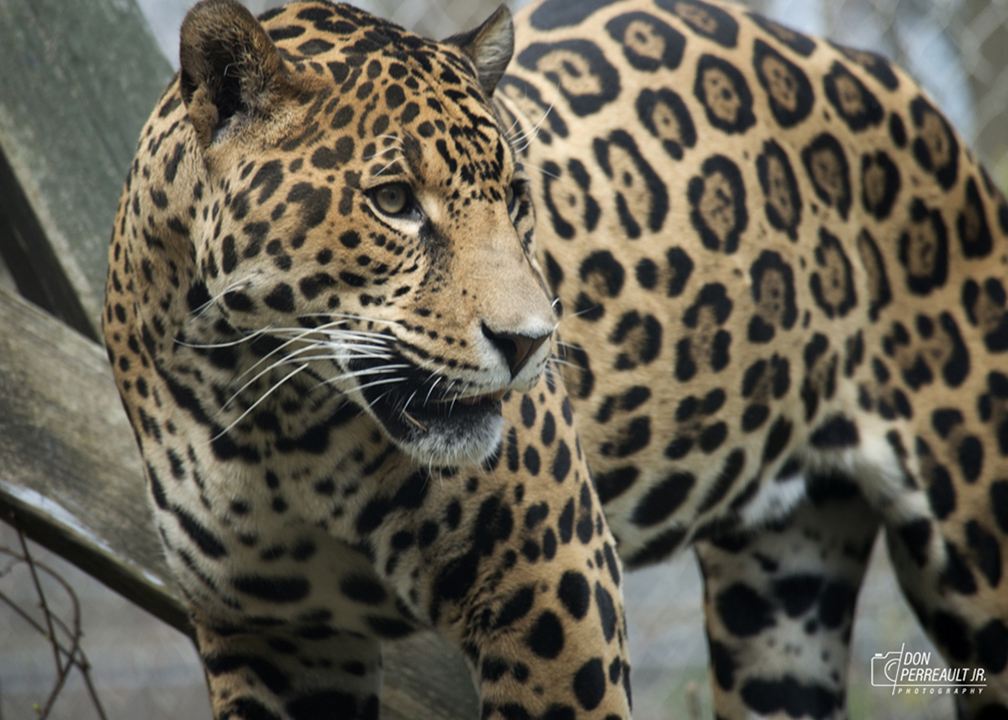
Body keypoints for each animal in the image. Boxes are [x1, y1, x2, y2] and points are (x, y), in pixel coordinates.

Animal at [101, 0, 1008, 719]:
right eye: (393, 202)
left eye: (516, 199)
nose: (532, 343)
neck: (266, 417)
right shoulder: (275, 639)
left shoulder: (553, 587)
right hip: (784, 593)